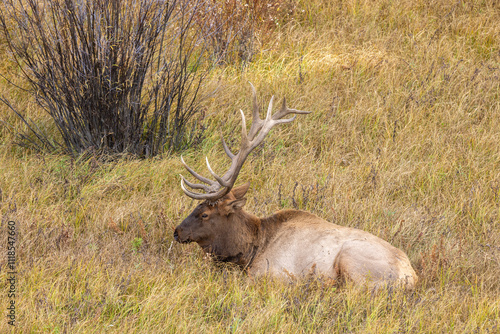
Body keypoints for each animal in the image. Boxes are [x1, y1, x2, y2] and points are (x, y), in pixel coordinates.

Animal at [176, 84, 418, 290]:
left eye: (205, 214)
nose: (176, 232)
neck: (253, 247)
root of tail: (410, 277)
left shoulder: (270, 273)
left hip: (353, 260)